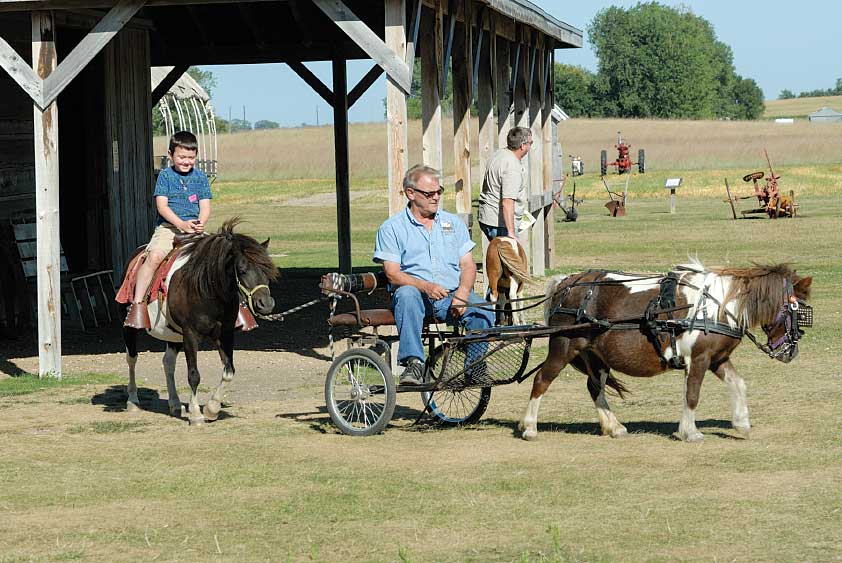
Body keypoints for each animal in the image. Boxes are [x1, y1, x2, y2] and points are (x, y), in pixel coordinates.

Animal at [516, 264, 812, 446]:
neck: (718, 306)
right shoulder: (699, 359)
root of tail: (566, 283)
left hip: (595, 355)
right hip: (564, 346)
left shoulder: (717, 359)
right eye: (798, 311)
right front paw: (690, 432)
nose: (791, 352)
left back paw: (614, 426)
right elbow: (692, 395)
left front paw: (742, 423)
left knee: (594, 387)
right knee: (541, 380)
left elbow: (738, 384)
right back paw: (529, 427)